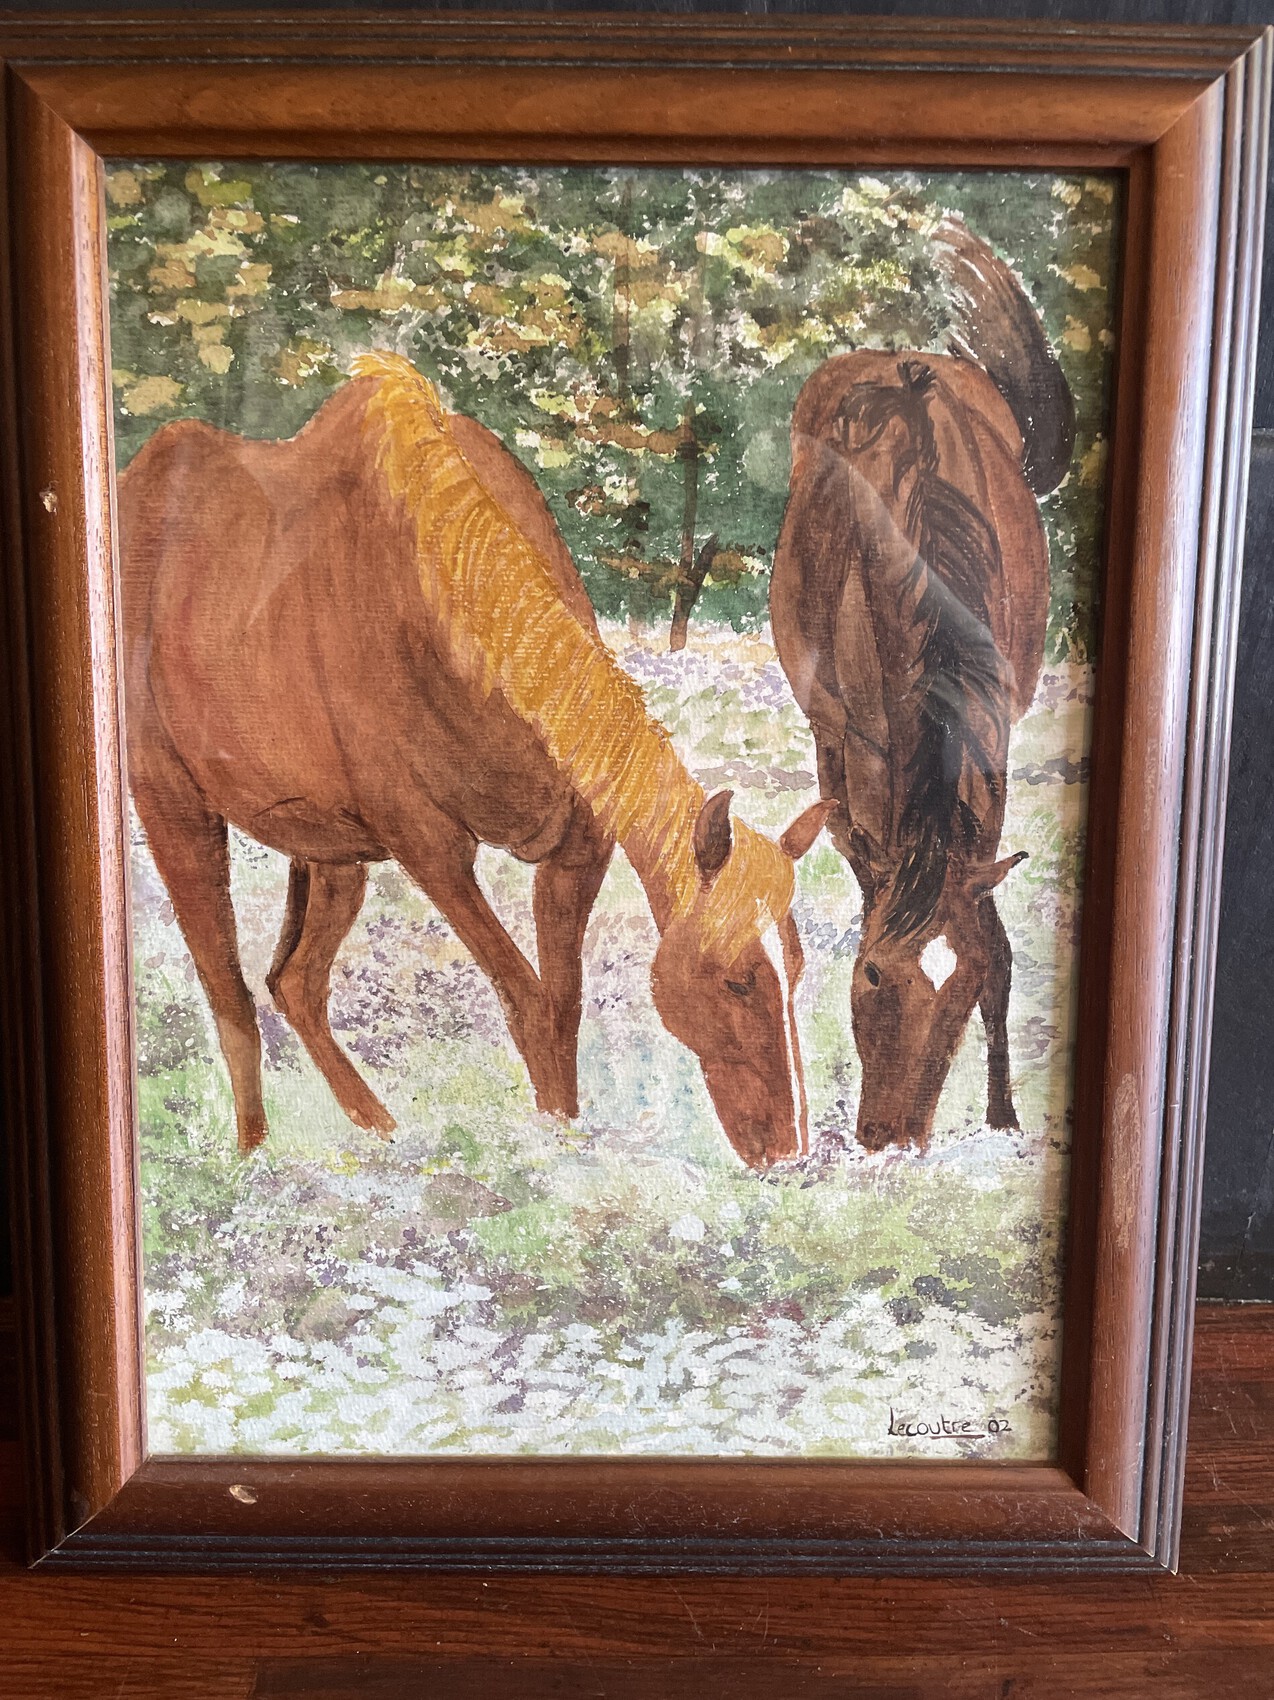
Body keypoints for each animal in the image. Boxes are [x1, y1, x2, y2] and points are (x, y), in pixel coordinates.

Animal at [120, 352, 832, 1170]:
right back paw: (253, 1160)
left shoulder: (575, 851)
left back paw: (380, 1135)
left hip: (331, 852)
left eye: (797, 968)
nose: (790, 1150)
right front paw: (555, 1155)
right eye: (738, 980)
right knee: (228, 992)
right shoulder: (431, 847)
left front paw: (566, 1141)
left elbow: (561, 1004)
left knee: (293, 982)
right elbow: (524, 1000)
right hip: (175, 808)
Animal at [770, 223, 1075, 1153]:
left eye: (964, 992)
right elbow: (871, 871)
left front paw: (1005, 1115)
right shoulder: (861, 742)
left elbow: (991, 923)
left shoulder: (995, 740)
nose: (892, 1137)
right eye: (871, 975)